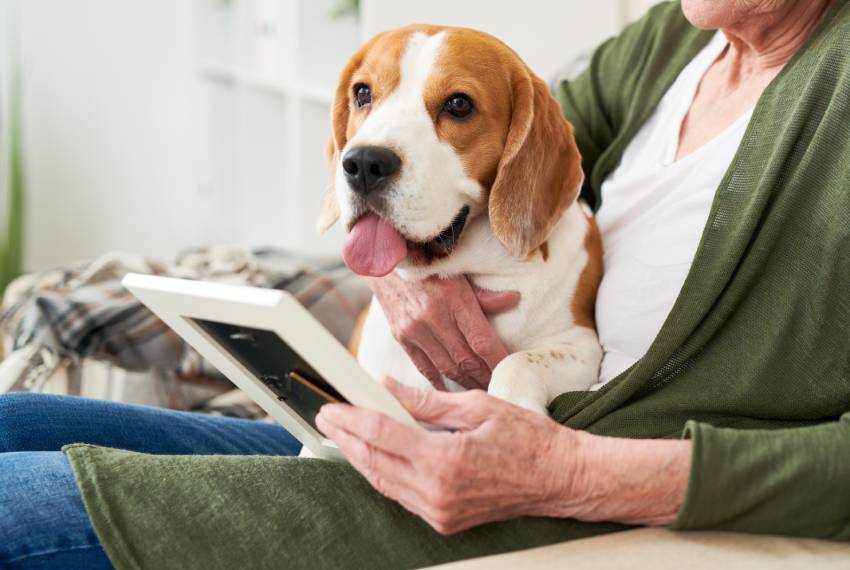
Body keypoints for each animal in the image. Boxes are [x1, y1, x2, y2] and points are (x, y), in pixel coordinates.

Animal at [318, 24, 604, 412]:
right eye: (362, 93)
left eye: (458, 104)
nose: (363, 163)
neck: (475, 269)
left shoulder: (582, 345)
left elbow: (516, 363)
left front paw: (512, 413)